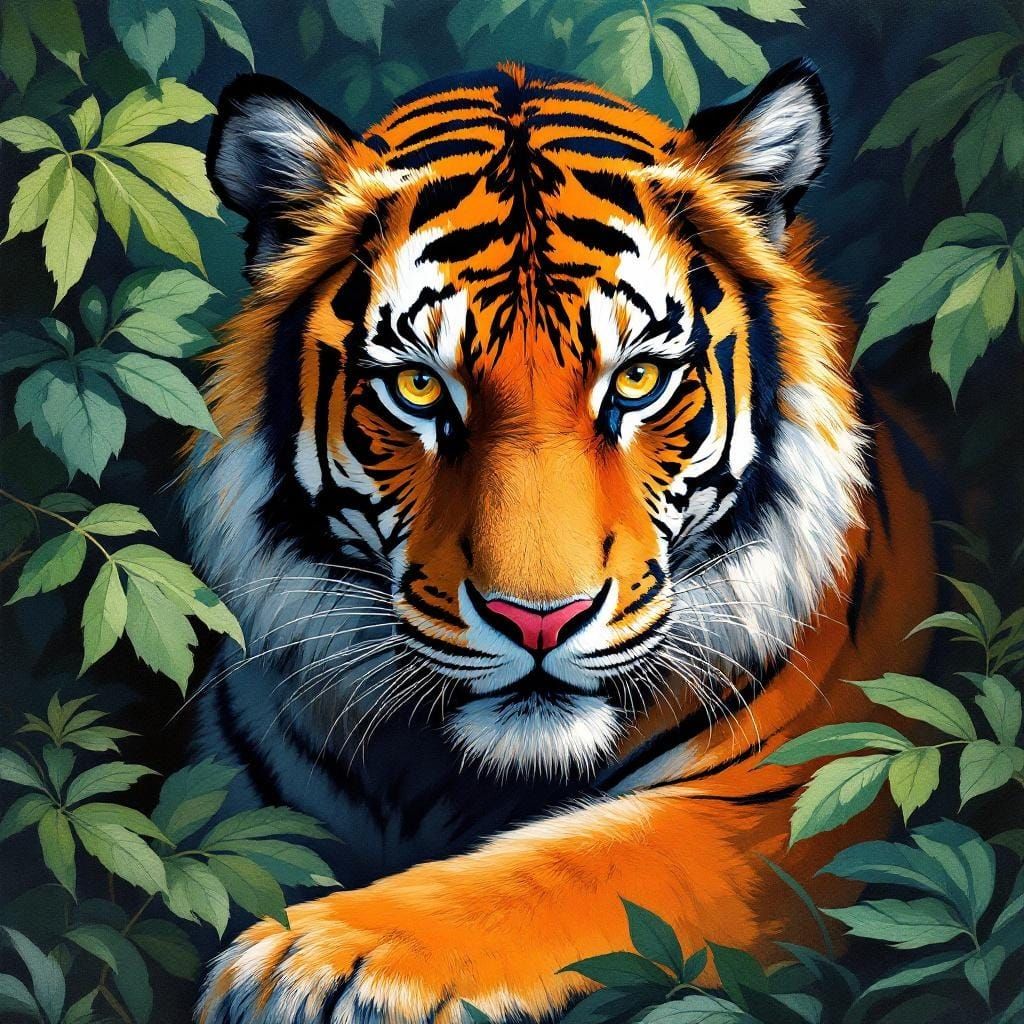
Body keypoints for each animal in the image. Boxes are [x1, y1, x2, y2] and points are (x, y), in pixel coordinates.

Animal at [186, 59, 938, 1024]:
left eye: (640, 379)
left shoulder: (787, 801)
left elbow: (588, 859)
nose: (539, 622)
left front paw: (318, 960)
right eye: (420, 388)